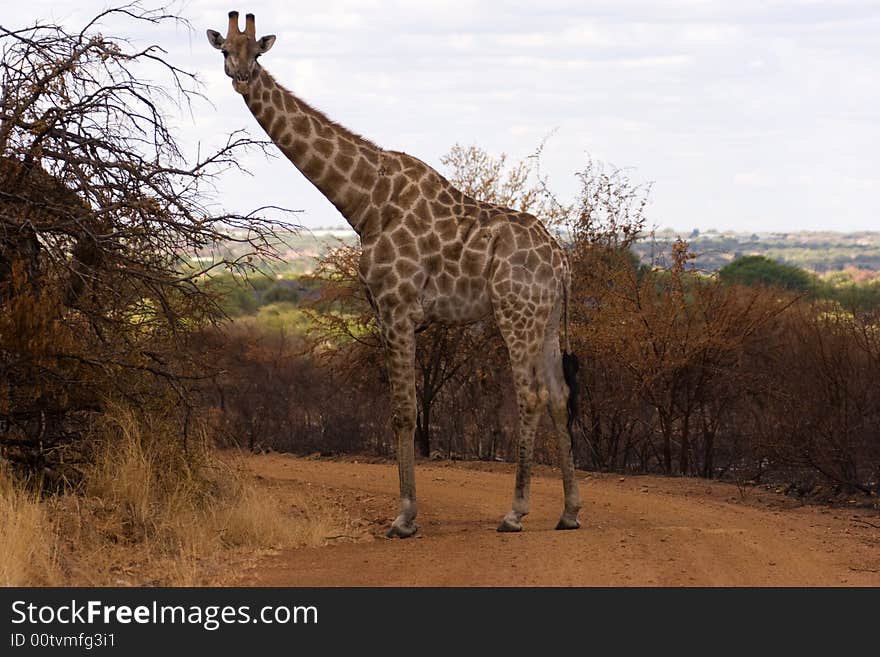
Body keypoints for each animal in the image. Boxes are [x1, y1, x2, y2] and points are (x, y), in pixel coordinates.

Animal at [208, 11, 584, 540]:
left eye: (256, 52)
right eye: (225, 51)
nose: (241, 77)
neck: (366, 202)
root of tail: (562, 262)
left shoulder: (396, 307)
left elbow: (403, 412)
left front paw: (404, 517)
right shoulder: (388, 310)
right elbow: (401, 410)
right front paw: (407, 512)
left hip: (517, 313)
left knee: (530, 395)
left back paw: (515, 512)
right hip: (547, 318)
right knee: (558, 395)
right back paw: (569, 511)